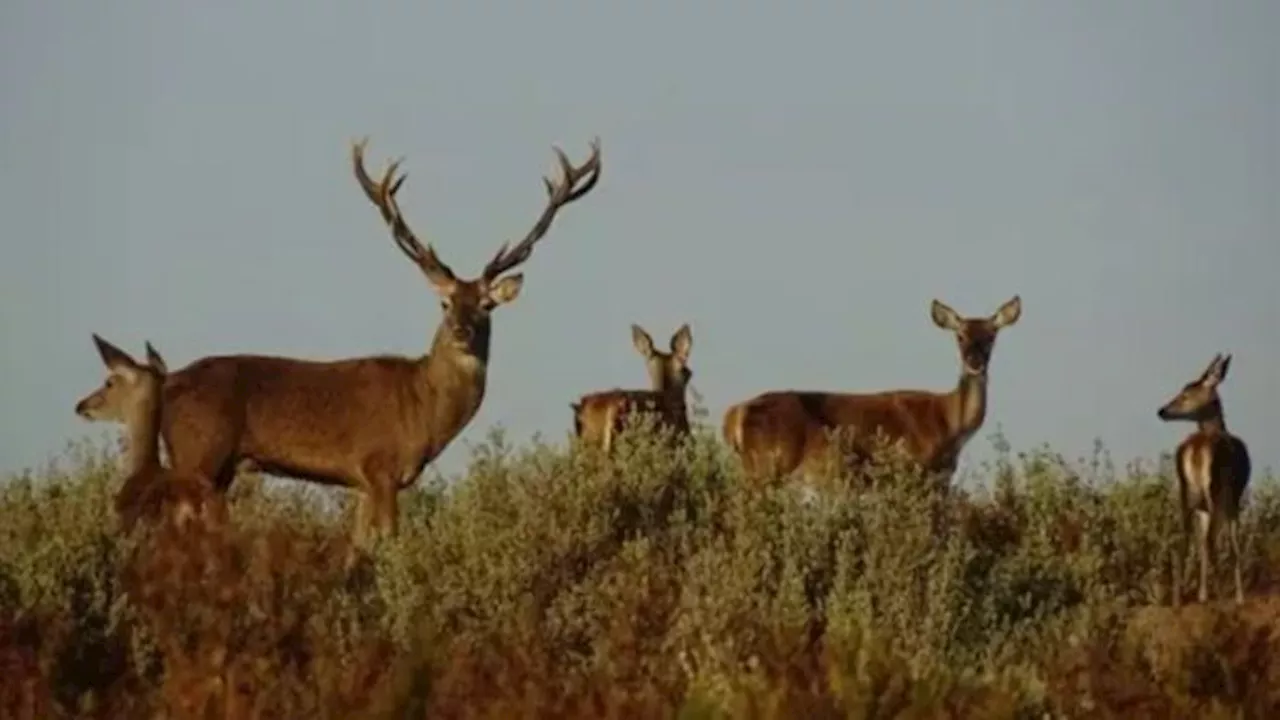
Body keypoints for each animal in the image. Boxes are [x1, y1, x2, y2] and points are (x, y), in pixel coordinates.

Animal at [727, 293, 1024, 486]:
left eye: (992, 336)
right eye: (959, 336)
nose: (974, 363)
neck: (951, 426)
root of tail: (734, 414)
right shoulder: (916, 468)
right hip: (768, 464)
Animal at [1162, 351, 1249, 602]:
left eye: (1187, 392)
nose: (1162, 410)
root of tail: (1194, 450)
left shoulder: (1203, 508)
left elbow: (1200, 544)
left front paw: (1202, 595)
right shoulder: (1234, 497)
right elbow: (1234, 544)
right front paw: (1239, 597)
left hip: (1186, 493)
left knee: (1185, 538)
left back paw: (1179, 598)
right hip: (1214, 490)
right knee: (1211, 541)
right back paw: (1223, 597)